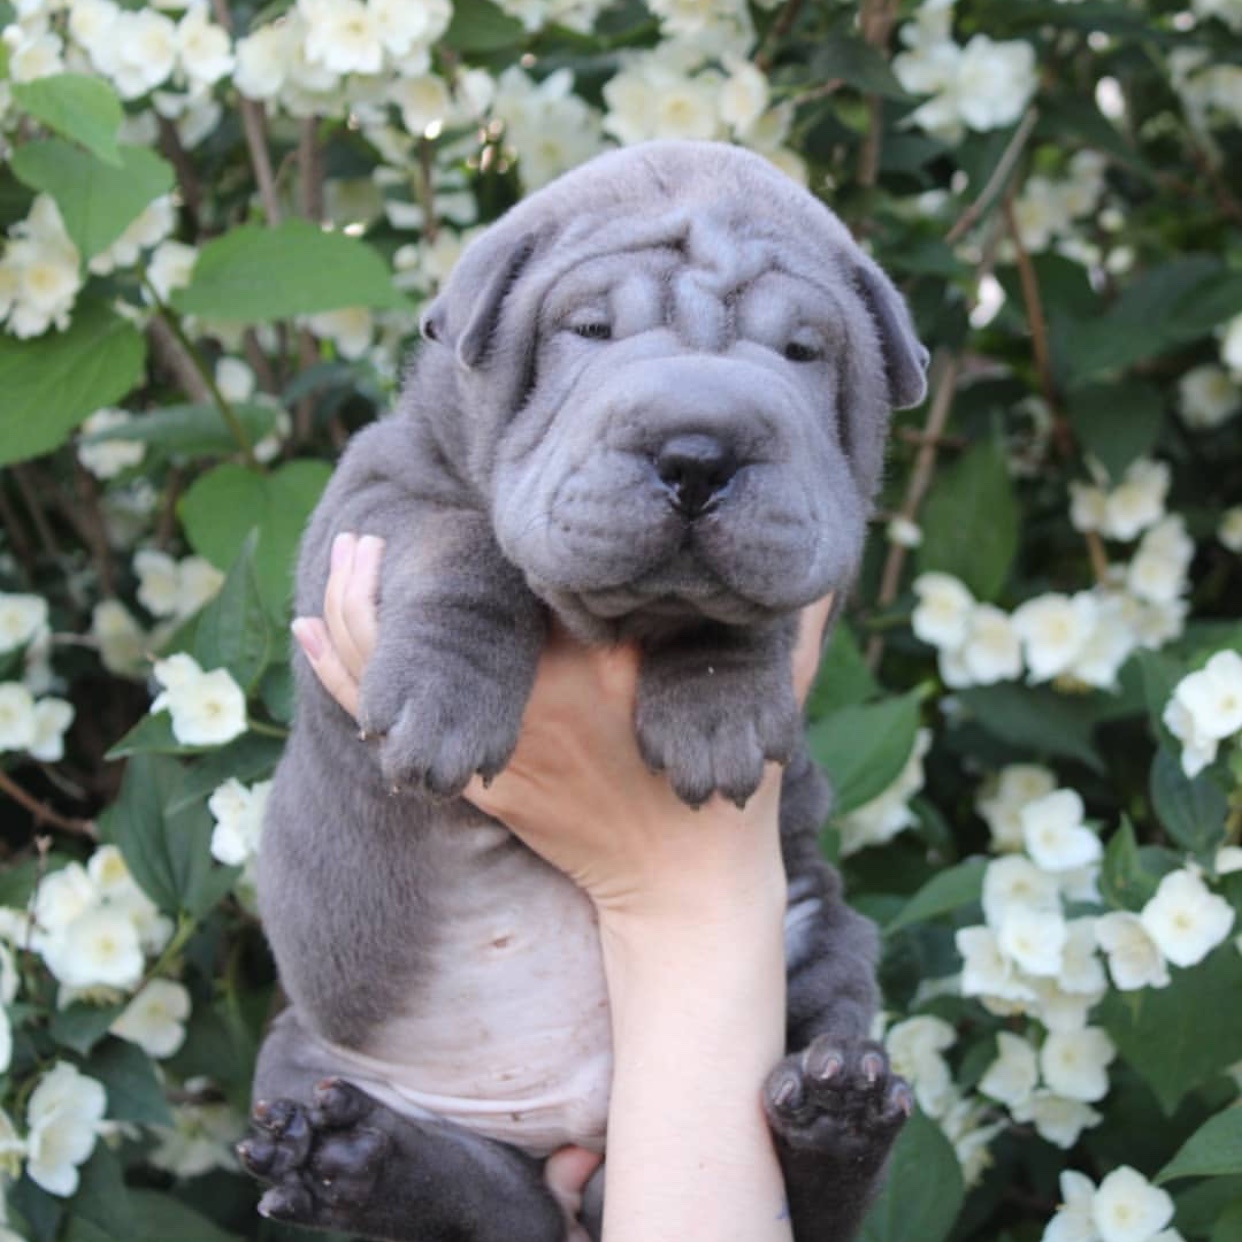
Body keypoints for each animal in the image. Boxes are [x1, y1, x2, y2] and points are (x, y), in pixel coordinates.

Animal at [242, 140, 929, 1237]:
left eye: (803, 350)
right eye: (589, 330)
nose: (699, 452)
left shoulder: (810, 553)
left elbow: (737, 610)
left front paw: (718, 713)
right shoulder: (369, 499)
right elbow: (463, 544)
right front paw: (441, 706)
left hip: (819, 940)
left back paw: (836, 1116)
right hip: (302, 1055)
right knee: (480, 1205)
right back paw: (345, 1159)